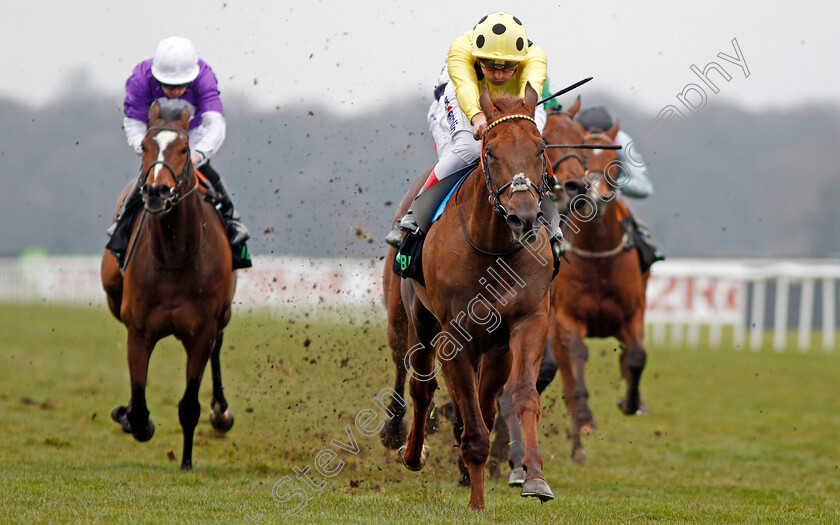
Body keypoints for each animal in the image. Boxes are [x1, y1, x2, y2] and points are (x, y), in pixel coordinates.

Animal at [104, 100, 240, 468]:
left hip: (222, 314)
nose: (155, 190)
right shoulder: (139, 329)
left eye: (183, 148)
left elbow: (189, 404)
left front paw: (187, 462)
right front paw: (132, 418)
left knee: (219, 347)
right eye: (145, 147)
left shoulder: (202, 329)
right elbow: (138, 405)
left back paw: (221, 413)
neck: (176, 255)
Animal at [392, 85, 556, 508]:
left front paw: (535, 478)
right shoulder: (455, 333)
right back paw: (413, 453)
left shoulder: (528, 321)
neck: (494, 248)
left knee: (485, 400)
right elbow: (468, 414)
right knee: (421, 387)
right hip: (420, 319)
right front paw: (477, 503)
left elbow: (522, 396)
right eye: (491, 151)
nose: (524, 217)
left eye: (540, 149)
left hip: (495, 348)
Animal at [552, 122, 648, 462]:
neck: (599, 261)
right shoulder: (566, 318)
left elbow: (637, 356)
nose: (594, 193)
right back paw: (578, 443)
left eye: (615, 163)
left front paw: (630, 402)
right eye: (583, 155)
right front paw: (585, 418)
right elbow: (578, 357)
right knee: (567, 378)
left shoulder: (633, 315)